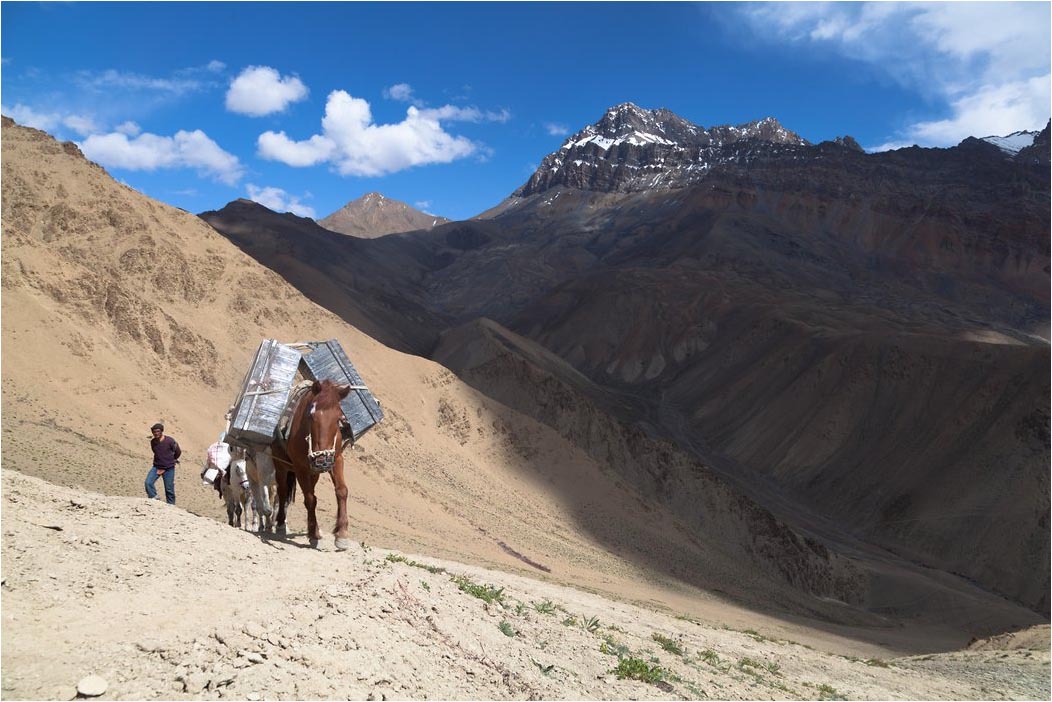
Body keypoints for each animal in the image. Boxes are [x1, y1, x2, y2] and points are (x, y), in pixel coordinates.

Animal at [272, 379, 354, 550]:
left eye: (339, 418)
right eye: (311, 415)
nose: (322, 460)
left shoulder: (336, 459)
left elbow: (342, 491)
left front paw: (341, 534)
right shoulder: (300, 468)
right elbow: (310, 499)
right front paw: (313, 534)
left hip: (313, 473)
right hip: (280, 465)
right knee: (282, 492)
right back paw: (281, 524)